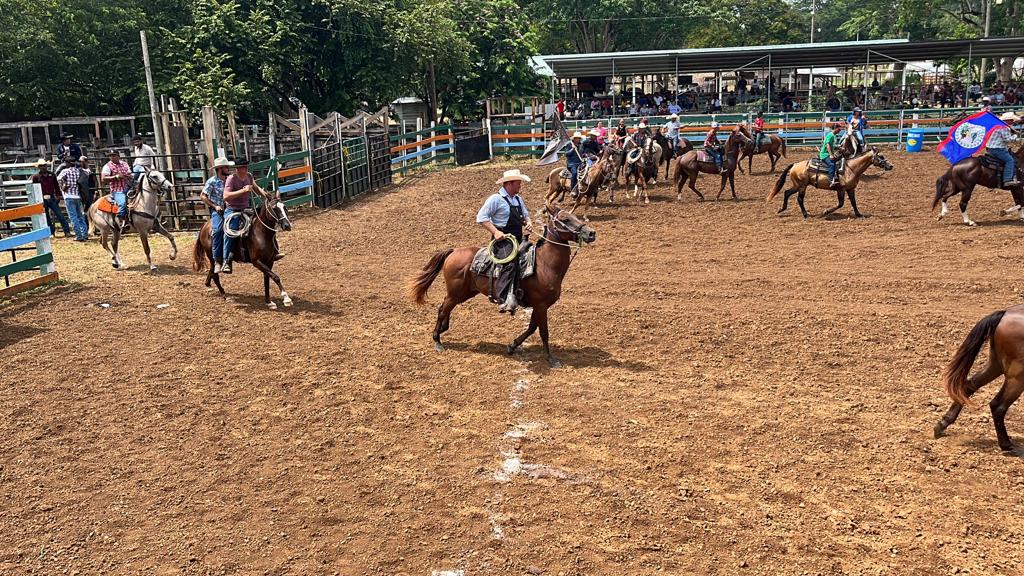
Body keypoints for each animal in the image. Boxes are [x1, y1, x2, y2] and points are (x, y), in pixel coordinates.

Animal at [407, 201, 598, 366]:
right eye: (565, 219)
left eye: (575, 216)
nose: (591, 233)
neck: (544, 264)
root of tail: (454, 251)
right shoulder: (541, 305)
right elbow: (543, 331)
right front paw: (551, 359)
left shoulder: (538, 306)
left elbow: (532, 328)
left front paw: (512, 346)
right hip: (455, 293)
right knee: (442, 309)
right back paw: (437, 340)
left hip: (464, 293)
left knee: (446, 308)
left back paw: (442, 330)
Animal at [937, 303, 1024, 455]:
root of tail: (1005, 314)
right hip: (1016, 377)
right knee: (998, 405)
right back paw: (1006, 445)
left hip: (996, 365)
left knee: (968, 386)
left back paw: (942, 424)